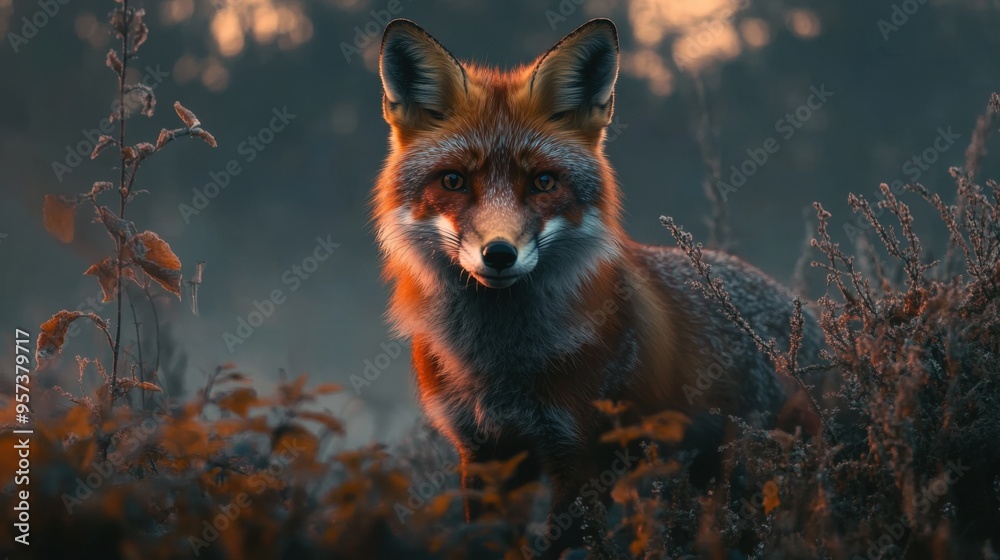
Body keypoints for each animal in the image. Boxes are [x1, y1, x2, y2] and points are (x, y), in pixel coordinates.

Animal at [373, 17, 824, 558]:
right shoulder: (485, 450)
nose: (499, 254)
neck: (500, 364)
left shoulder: (585, 453)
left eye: (544, 182)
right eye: (454, 181)